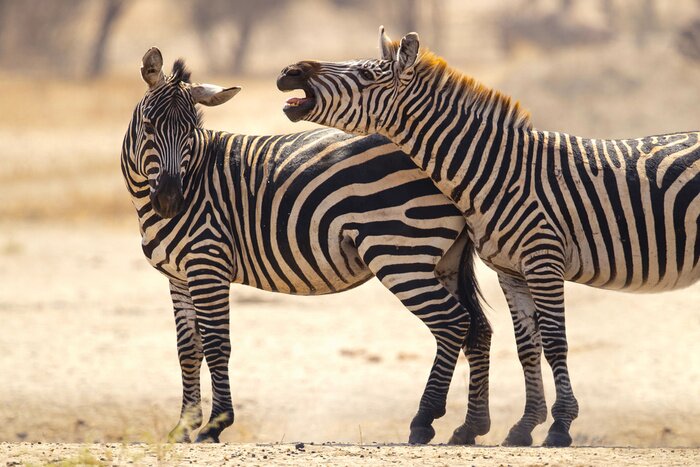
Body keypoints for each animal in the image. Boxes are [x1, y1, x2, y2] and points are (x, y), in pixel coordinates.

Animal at [122, 46, 493, 444]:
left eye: (191, 131)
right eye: (148, 126)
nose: (170, 201)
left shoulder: (209, 262)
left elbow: (217, 344)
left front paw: (215, 424)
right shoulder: (179, 275)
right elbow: (188, 349)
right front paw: (183, 427)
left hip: (399, 253)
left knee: (453, 322)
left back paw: (424, 420)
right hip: (444, 258)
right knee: (477, 327)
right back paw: (471, 426)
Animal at [277, 26, 700, 447]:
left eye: (366, 75)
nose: (289, 71)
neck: (498, 170)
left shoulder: (543, 258)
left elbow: (555, 340)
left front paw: (560, 425)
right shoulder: (510, 270)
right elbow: (528, 345)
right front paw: (525, 426)